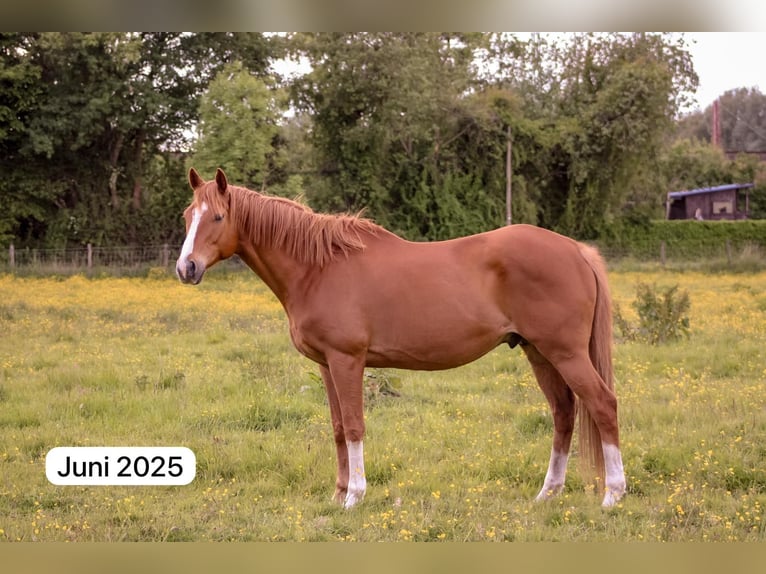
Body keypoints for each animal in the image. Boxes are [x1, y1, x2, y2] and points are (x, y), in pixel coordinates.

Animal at [176, 168, 626, 508]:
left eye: (217, 217)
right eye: (187, 215)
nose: (187, 268)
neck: (318, 268)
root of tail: (576, 250)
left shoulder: (347, 360)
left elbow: (354, 425)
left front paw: (354, 497)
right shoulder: (326, 365)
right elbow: (337, 428)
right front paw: (337, 494)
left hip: (565, 353)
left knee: (603, 404)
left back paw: (613, 495)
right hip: (539, 353)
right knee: (564, 413)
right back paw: (548, 494)